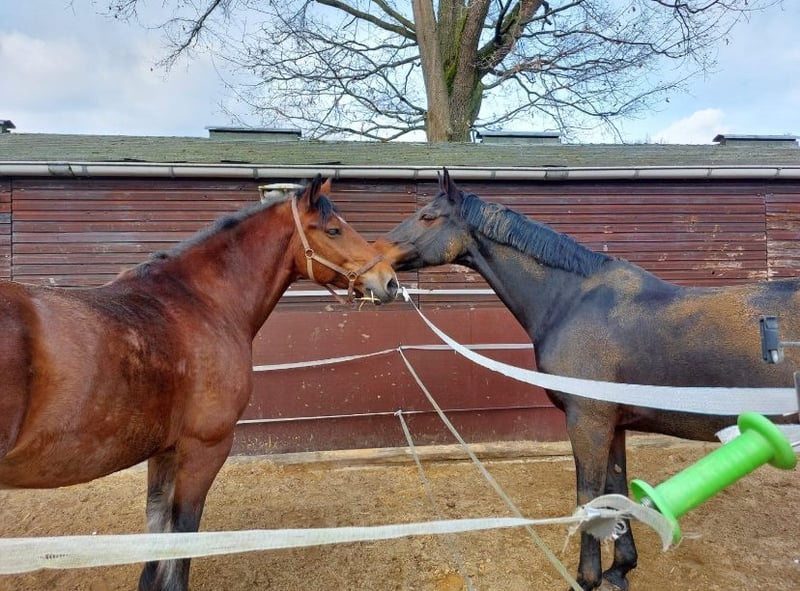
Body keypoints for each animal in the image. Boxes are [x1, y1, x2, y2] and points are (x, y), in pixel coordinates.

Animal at [0, 175, 398, 591]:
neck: (202, 303)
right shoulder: (204, 450)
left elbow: (156, 537)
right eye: (334, 229)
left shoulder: (164, 453)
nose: (389, 281)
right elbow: (182, 540)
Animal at [376, 169, 799, 591]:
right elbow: (616, 489)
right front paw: (620, 568)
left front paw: (586, 578)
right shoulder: (614, 425)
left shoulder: (587, 422)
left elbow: (588, 496)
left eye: (428, 217)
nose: (379, 271)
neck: (571, 301)